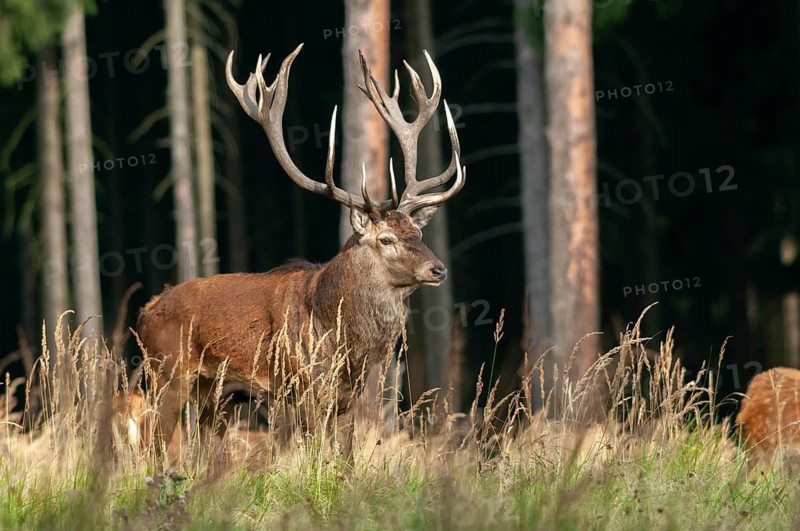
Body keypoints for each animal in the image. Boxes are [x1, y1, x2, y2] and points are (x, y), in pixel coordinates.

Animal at [136, 43, 465, 460]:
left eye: (417, 231)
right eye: (386, 239)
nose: (438, 269)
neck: (343, 342)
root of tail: (145, 313)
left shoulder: (347, 397)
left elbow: (346, 458)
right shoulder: (300, 387)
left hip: (215, 396)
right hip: (166, 374)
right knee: (153, 443)